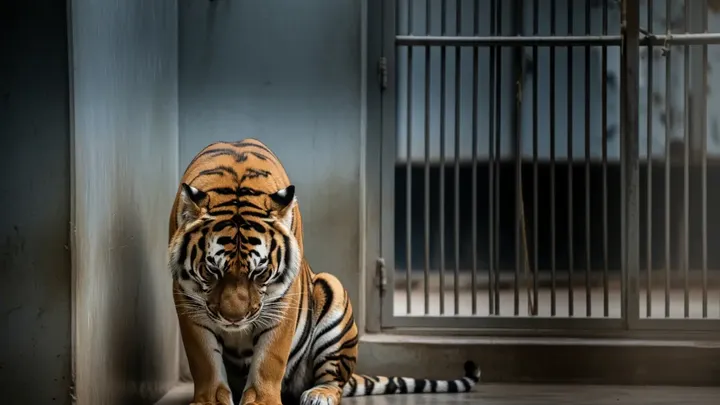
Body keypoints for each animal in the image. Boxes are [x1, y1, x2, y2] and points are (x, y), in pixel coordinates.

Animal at [168, 139, 481, 405]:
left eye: (260, 273)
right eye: (212, 270)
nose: (234, 320)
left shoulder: (284, 297)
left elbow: (269, 359)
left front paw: (262, 402)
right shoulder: (187, 300)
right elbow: (205, 360)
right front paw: (210, 401)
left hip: (333, 293)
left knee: (334, 379)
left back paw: (319, 395)